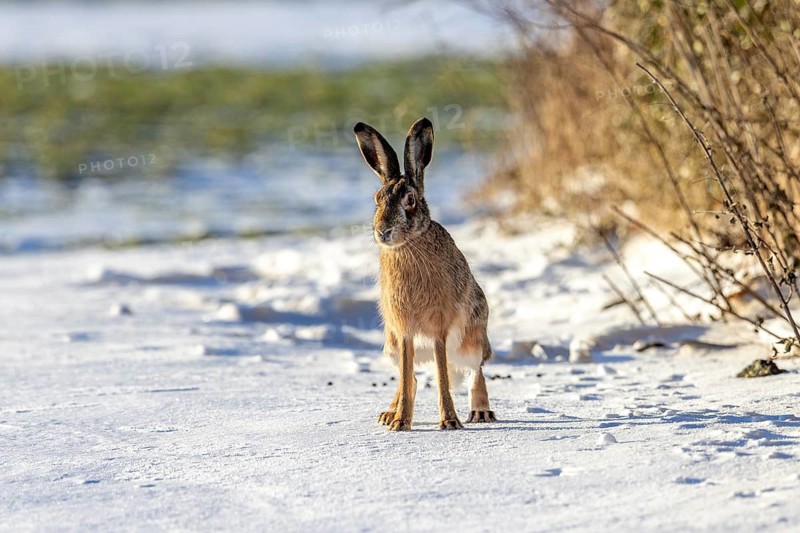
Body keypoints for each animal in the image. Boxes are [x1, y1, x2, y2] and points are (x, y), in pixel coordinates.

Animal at [353, 117, 496, 431]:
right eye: (377, 199)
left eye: (409, 199)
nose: (383, 231)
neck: (409, 244)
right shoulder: (403, 331)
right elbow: (409, 376)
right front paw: (400, 423)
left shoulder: (439, 329)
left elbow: (442, 375)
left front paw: (450, 421)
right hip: (391, 346)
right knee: (410, 378)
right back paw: (389, 413)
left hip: (471, 341)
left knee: (475, 369)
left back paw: (480, 412)